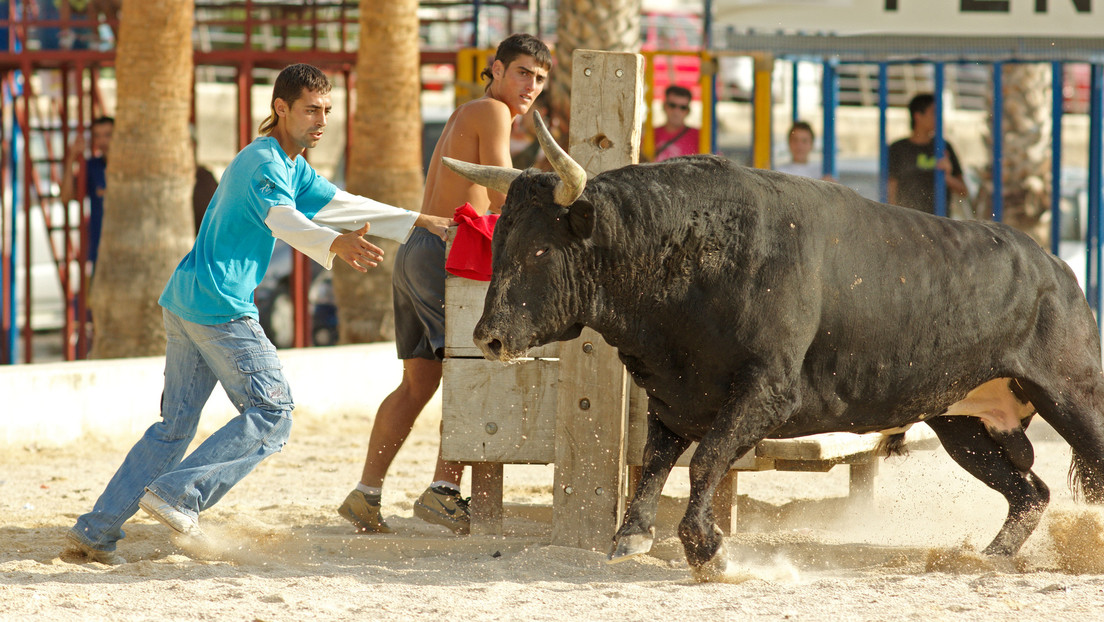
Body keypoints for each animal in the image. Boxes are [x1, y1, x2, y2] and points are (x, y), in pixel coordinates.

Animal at [452, 153, 1104, 583]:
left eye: (540, 249)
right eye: (498, 243)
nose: (488, 336)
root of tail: (1056, 269)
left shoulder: (766, 393)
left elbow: (705, 461)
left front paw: (709, 551)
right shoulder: (675, 395)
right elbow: (658, 460)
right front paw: (633, 535)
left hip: (1073, 397)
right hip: (961, 423)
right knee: (1031, 493)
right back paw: (983, 559)